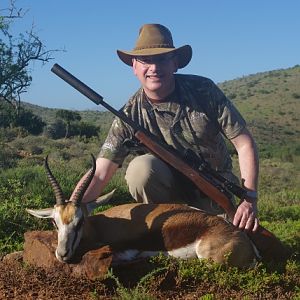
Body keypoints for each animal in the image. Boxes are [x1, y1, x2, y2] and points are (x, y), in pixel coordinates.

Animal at [26, 155, 258, 268]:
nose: (62, 254)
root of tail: (243, 238)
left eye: (80, 221)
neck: (101, 225)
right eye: (55, 222)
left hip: (206, 257)